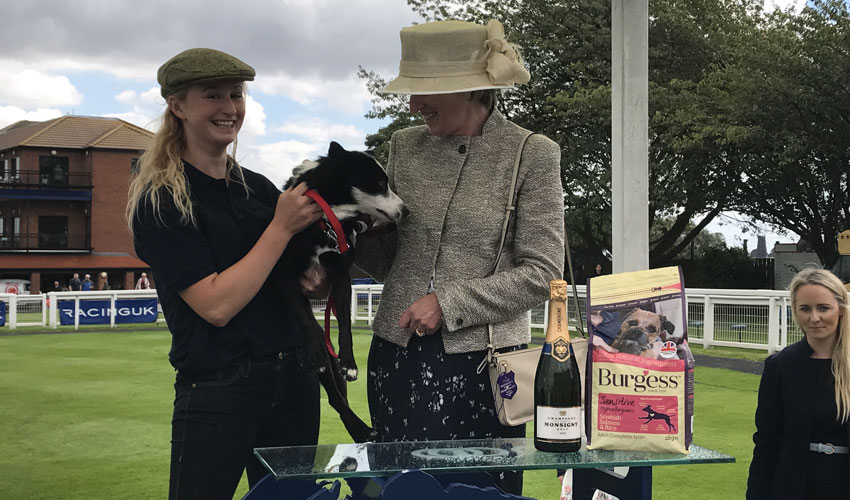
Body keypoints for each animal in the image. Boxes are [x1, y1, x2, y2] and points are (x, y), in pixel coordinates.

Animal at [272, 141, 404, 442]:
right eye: (379, 184)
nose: (406, 210)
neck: (326, 220)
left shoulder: (341, 277)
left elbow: (344, 325)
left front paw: (350, 364)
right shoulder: (284, 277)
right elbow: (307, 321)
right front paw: (315, 352)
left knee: (337, 397)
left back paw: (360, 429)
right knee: (332, 390)